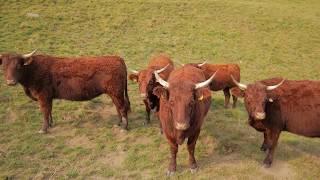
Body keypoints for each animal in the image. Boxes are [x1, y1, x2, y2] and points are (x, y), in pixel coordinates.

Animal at [0, 50, 131, 133]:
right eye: (4, 67)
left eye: (18, 66)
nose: (10, 81)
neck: (33, 70)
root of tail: (117, 58)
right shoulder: (48, 97)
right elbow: (49, 111)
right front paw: (51, 124)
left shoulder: (43, 96)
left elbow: (44, 112)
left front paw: (43, 129)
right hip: (114, 93)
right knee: (118, 107)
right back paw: (118, 123)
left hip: (116, 92)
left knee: (122, 107)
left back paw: (124, 127)